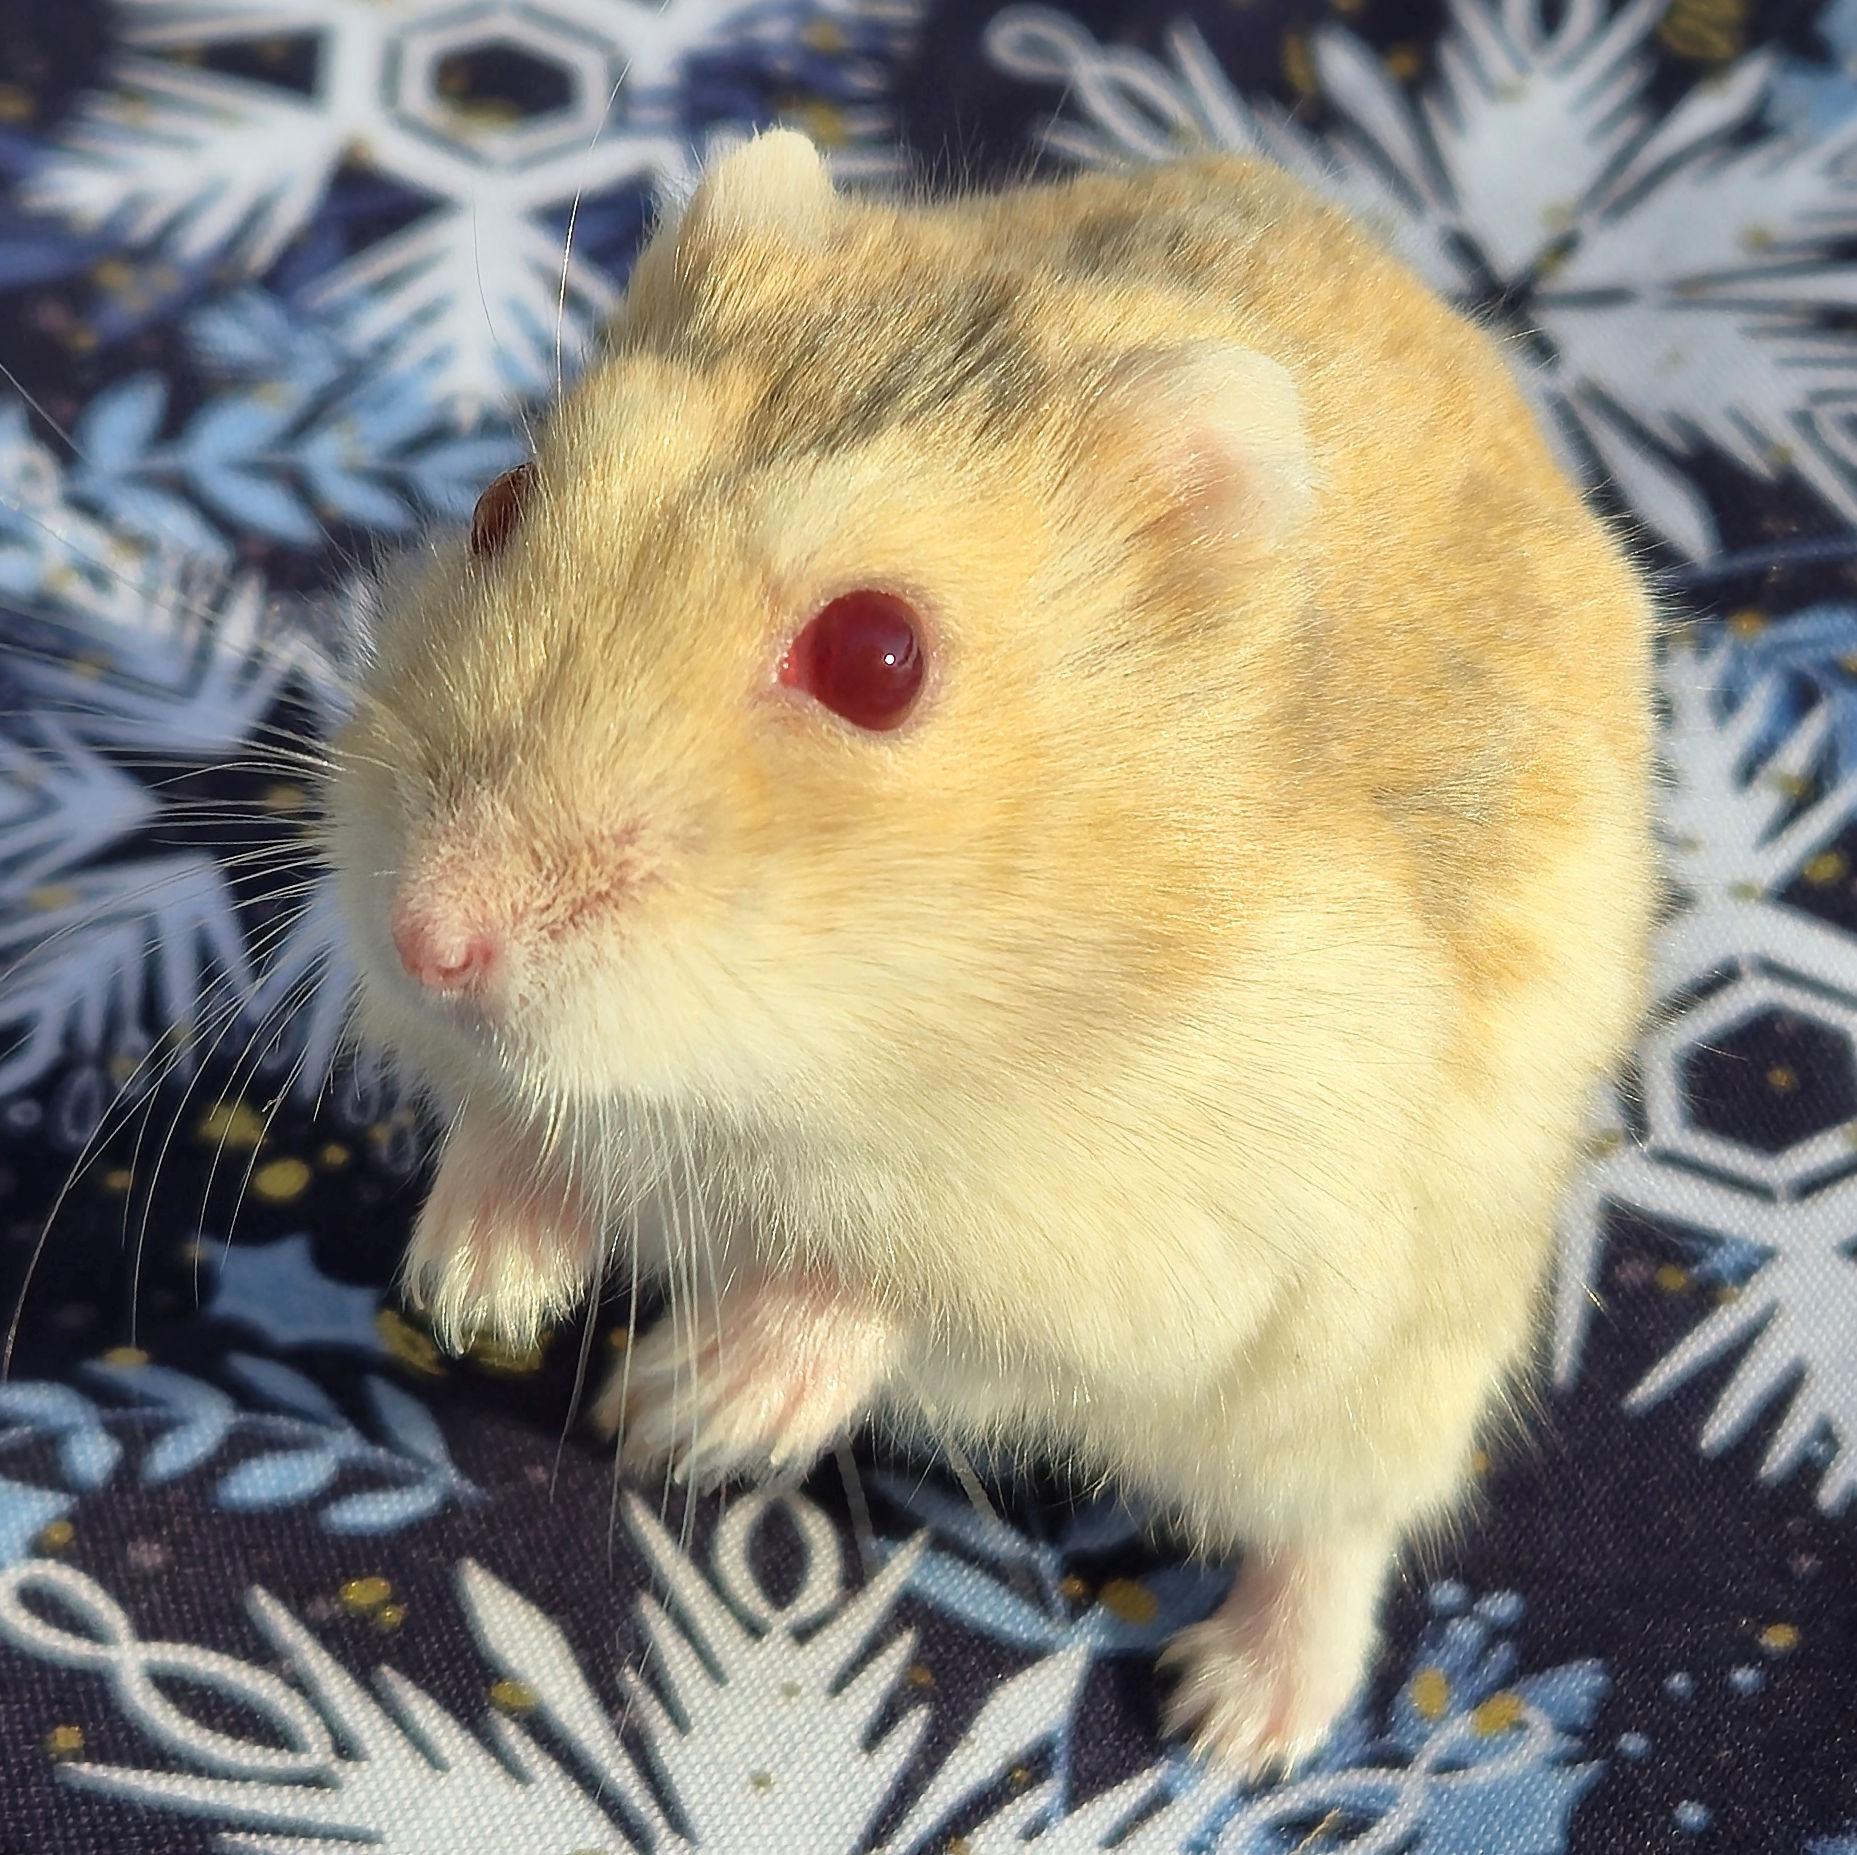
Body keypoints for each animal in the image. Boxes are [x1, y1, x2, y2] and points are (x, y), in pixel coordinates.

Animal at [324, 129, 1657, 1775]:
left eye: (876, 657)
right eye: (503, 502)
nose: (427, 937)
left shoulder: (1141, 1233)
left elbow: (884, 1279)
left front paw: (689, 1410)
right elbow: (514, 1118)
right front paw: (477, 1287)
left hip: (1383, 1371)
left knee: (1335, 1535)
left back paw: (1235, 1722)